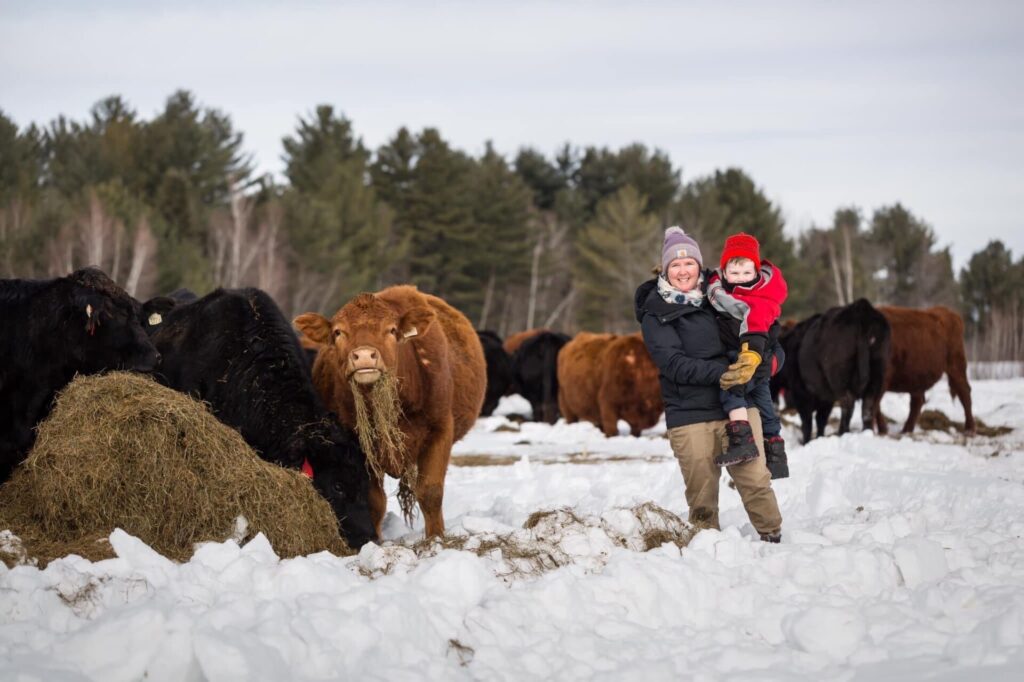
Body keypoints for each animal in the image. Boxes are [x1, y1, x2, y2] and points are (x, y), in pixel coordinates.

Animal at [296, 284, 487, 532]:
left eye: (392, 330)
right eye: (338, 332)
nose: (364, 355)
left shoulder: (441, 430)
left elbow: (431, 493)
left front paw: (436, 536)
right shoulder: (358, 444)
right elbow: (375, 501)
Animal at [778, 296, 892, 440]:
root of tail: (861, 309)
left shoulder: (801, 393)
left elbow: (808, 422)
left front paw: (807, 441)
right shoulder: (826, 397)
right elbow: (821, 420)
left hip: (839, 379)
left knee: (848, 403)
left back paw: (843, 432)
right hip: (878, 373)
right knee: (868, 406)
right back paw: (866, 432)